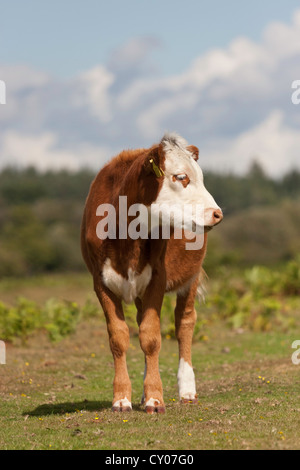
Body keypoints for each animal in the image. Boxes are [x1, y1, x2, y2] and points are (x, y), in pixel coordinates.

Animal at [81, 130, 224, 414]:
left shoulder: (157, 278)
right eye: (181, 177)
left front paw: (155, 398)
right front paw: (122, 398)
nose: (217, 213)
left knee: (184, 323)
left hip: (191, 276)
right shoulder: (100, 283)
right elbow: (119, 337)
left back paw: (187, 390)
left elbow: (151, 337)